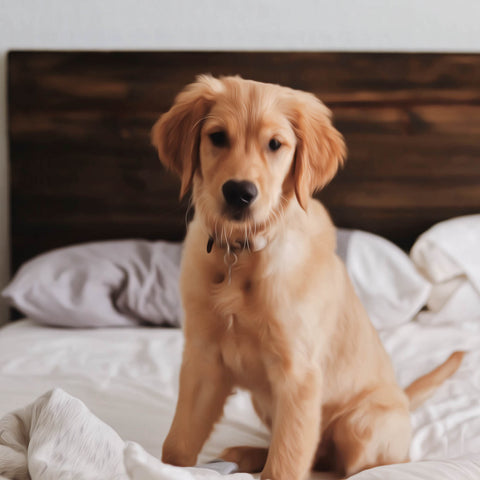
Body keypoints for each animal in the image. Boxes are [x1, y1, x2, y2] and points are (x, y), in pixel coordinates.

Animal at [152, 76, 464, 480]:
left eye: (275, 144)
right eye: (217, 137)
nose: (239, 192)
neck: (242, 252)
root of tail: (403, 398)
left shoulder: (298, 373)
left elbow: (287, 461)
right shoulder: (203, 358)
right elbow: (178, 443)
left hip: (361, 423)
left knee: (339, 466)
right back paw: (247, 454)